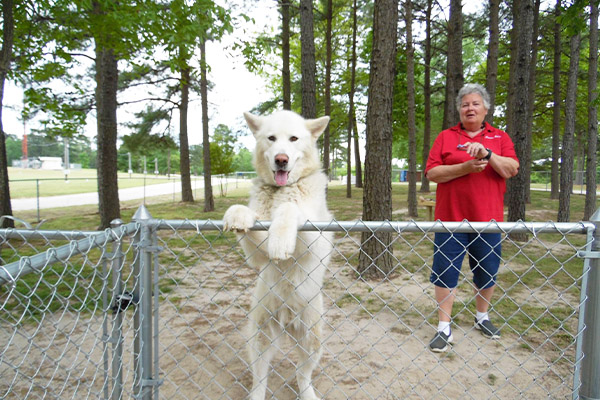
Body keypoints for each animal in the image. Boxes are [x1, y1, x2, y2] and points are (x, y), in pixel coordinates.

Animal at [225, 110, 336, 400]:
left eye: (294, 138)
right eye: (271, 138)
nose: (281, 159)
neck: (279, 190)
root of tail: (287, 320)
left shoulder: (315, 238)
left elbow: (289, 209)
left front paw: (281, 238)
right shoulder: (257, 255)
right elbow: (248, 216)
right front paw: (238, 214)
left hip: (311, 339)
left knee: (301, 373)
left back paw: (308, 394)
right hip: (261, 337)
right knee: (260, 377)